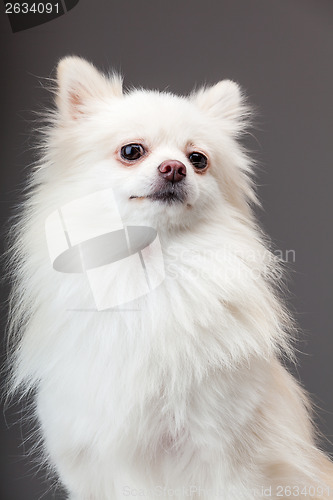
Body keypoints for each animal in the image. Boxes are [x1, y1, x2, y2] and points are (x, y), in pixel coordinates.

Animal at [5, 56, 332, 498]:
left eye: (198, 159)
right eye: (131, 151)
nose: (175, 168)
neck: (147, 269)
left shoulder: (226, 461)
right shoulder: (87, 466)